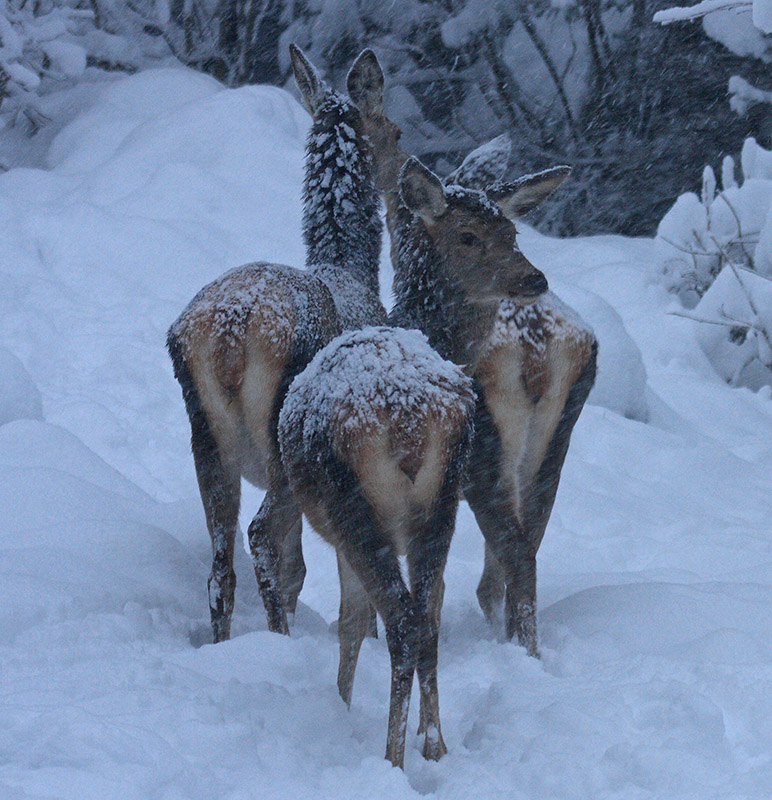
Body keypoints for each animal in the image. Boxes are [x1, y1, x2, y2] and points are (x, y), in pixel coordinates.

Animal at [167, 45, 386, 644]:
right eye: (387, 123)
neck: (355, 272)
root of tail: (229, 334)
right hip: (286, 439)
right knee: (263, 539)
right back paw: (278, 643)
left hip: (206, 437)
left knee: (222, 564)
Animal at [278, 153, 548, 764]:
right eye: (470, 235)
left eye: (513, 233)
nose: (534, 279)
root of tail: (405, 414)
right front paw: (430, 739)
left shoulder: (339, 529)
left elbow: (352, 621)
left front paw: (343, 708)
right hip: (439, 501)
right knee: (428, 616)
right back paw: (435, 746)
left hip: (353, 503)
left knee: (402, 620)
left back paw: (391, 758)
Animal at [348, 53, 596, 660]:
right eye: (469, 235)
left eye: (511, 232)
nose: (533, 277)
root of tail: (538, 353)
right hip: (551, 446)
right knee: (525, 549)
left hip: (484, 455)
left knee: (513, 553)